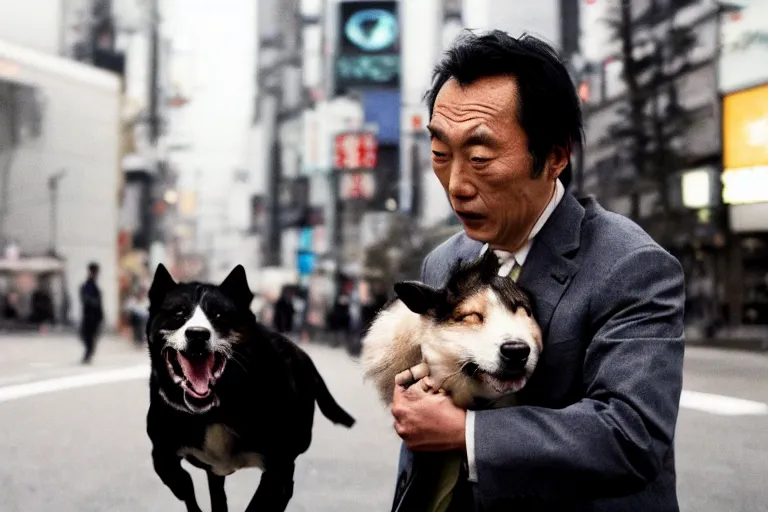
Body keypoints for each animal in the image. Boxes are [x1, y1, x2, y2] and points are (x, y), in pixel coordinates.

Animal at [146, 264, 356, 512]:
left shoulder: (279, 468)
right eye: (178, 312)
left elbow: (261, 502)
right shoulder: (161, 452)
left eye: (219, 314)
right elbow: (183, 484)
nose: (197, 333)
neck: (215, 410)